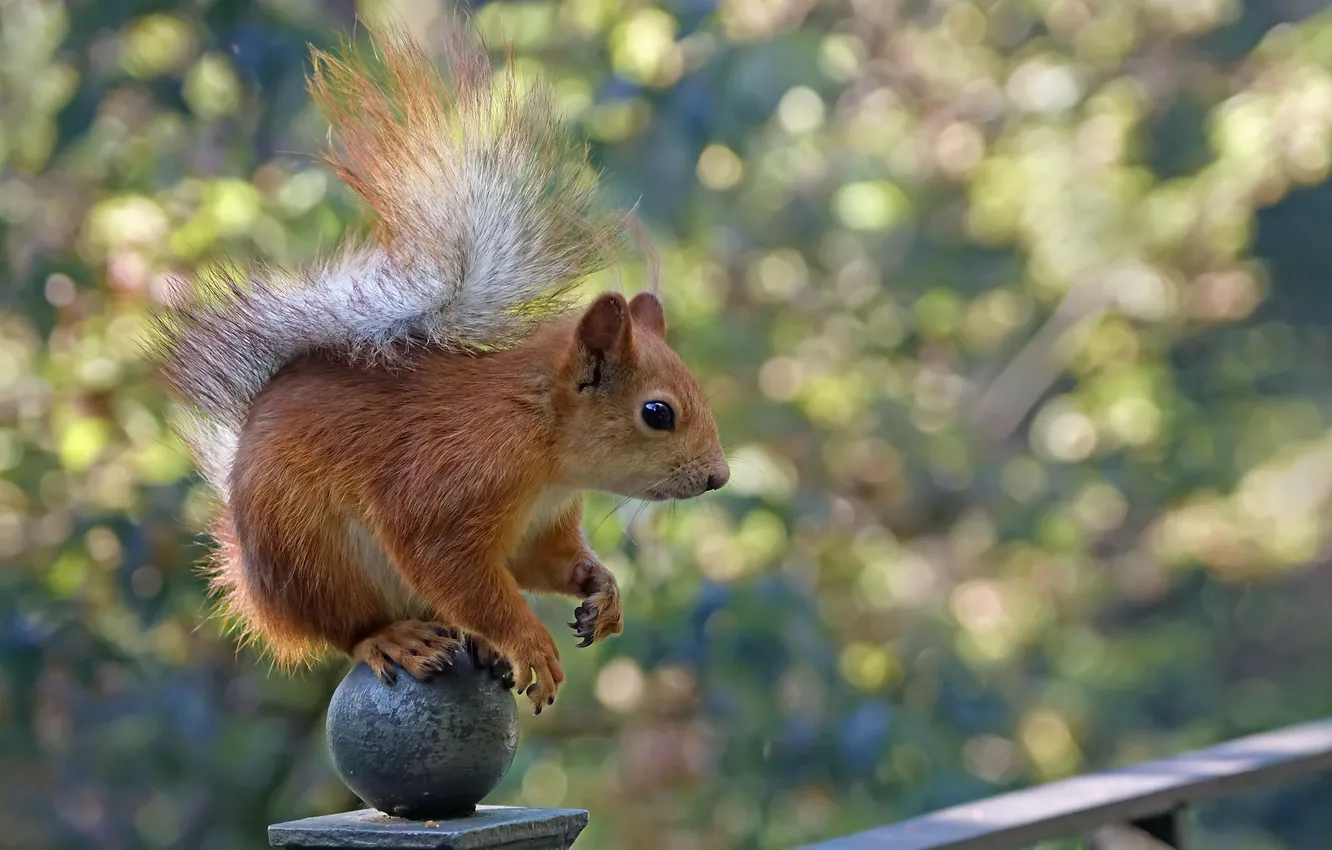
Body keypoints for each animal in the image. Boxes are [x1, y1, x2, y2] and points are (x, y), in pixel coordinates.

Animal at [150, 23, 729, 714]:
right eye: (657, 413)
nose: (719, 477)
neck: (545, 453)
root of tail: (253, 581)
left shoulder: (538, 531)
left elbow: (546, 563)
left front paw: (602, 589)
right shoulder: (448, 492)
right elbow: (463, 578)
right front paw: (529, 643)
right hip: (310, 557)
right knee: (346, 629)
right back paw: (395, 639)